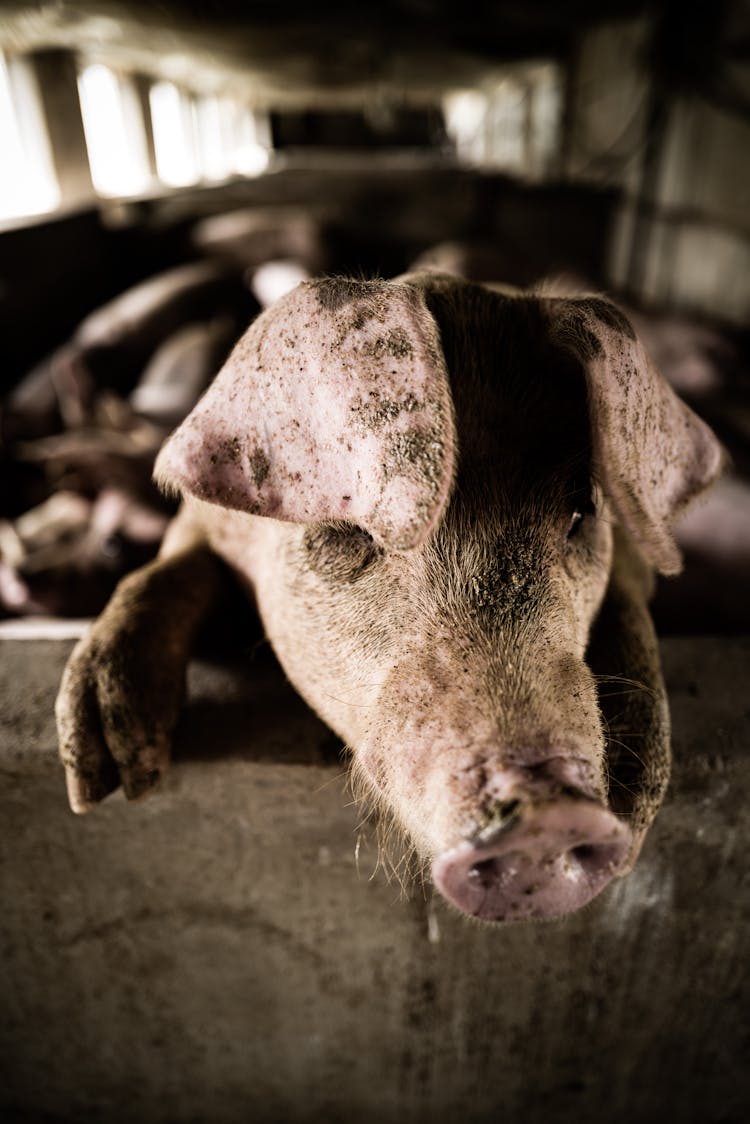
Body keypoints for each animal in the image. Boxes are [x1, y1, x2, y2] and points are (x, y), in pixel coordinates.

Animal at [54, 272, 719, 921]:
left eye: (580, 513)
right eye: (348, 530)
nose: (548, 815)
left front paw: (635, 790)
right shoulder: (198, 522)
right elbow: (165, 572)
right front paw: (104, 779)